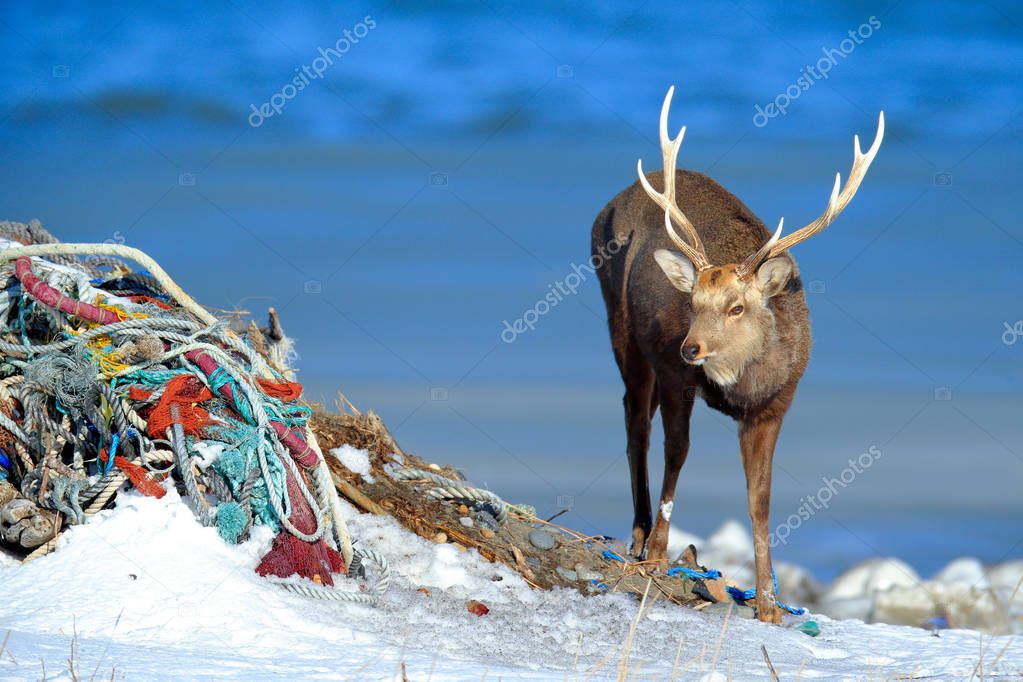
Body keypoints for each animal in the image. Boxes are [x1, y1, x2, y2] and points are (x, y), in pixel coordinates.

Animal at [597, 86, 883, 625]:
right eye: (691, 303)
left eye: (737, 306)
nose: (691, 346)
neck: (741, 384)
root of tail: (612, 200)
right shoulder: (676, 375)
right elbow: (677, 452)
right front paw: (660, 556)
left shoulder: (776, 404)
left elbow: (761, 498)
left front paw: (769, 604)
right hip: (620, 323)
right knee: (635, 422)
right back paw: (639, 539)